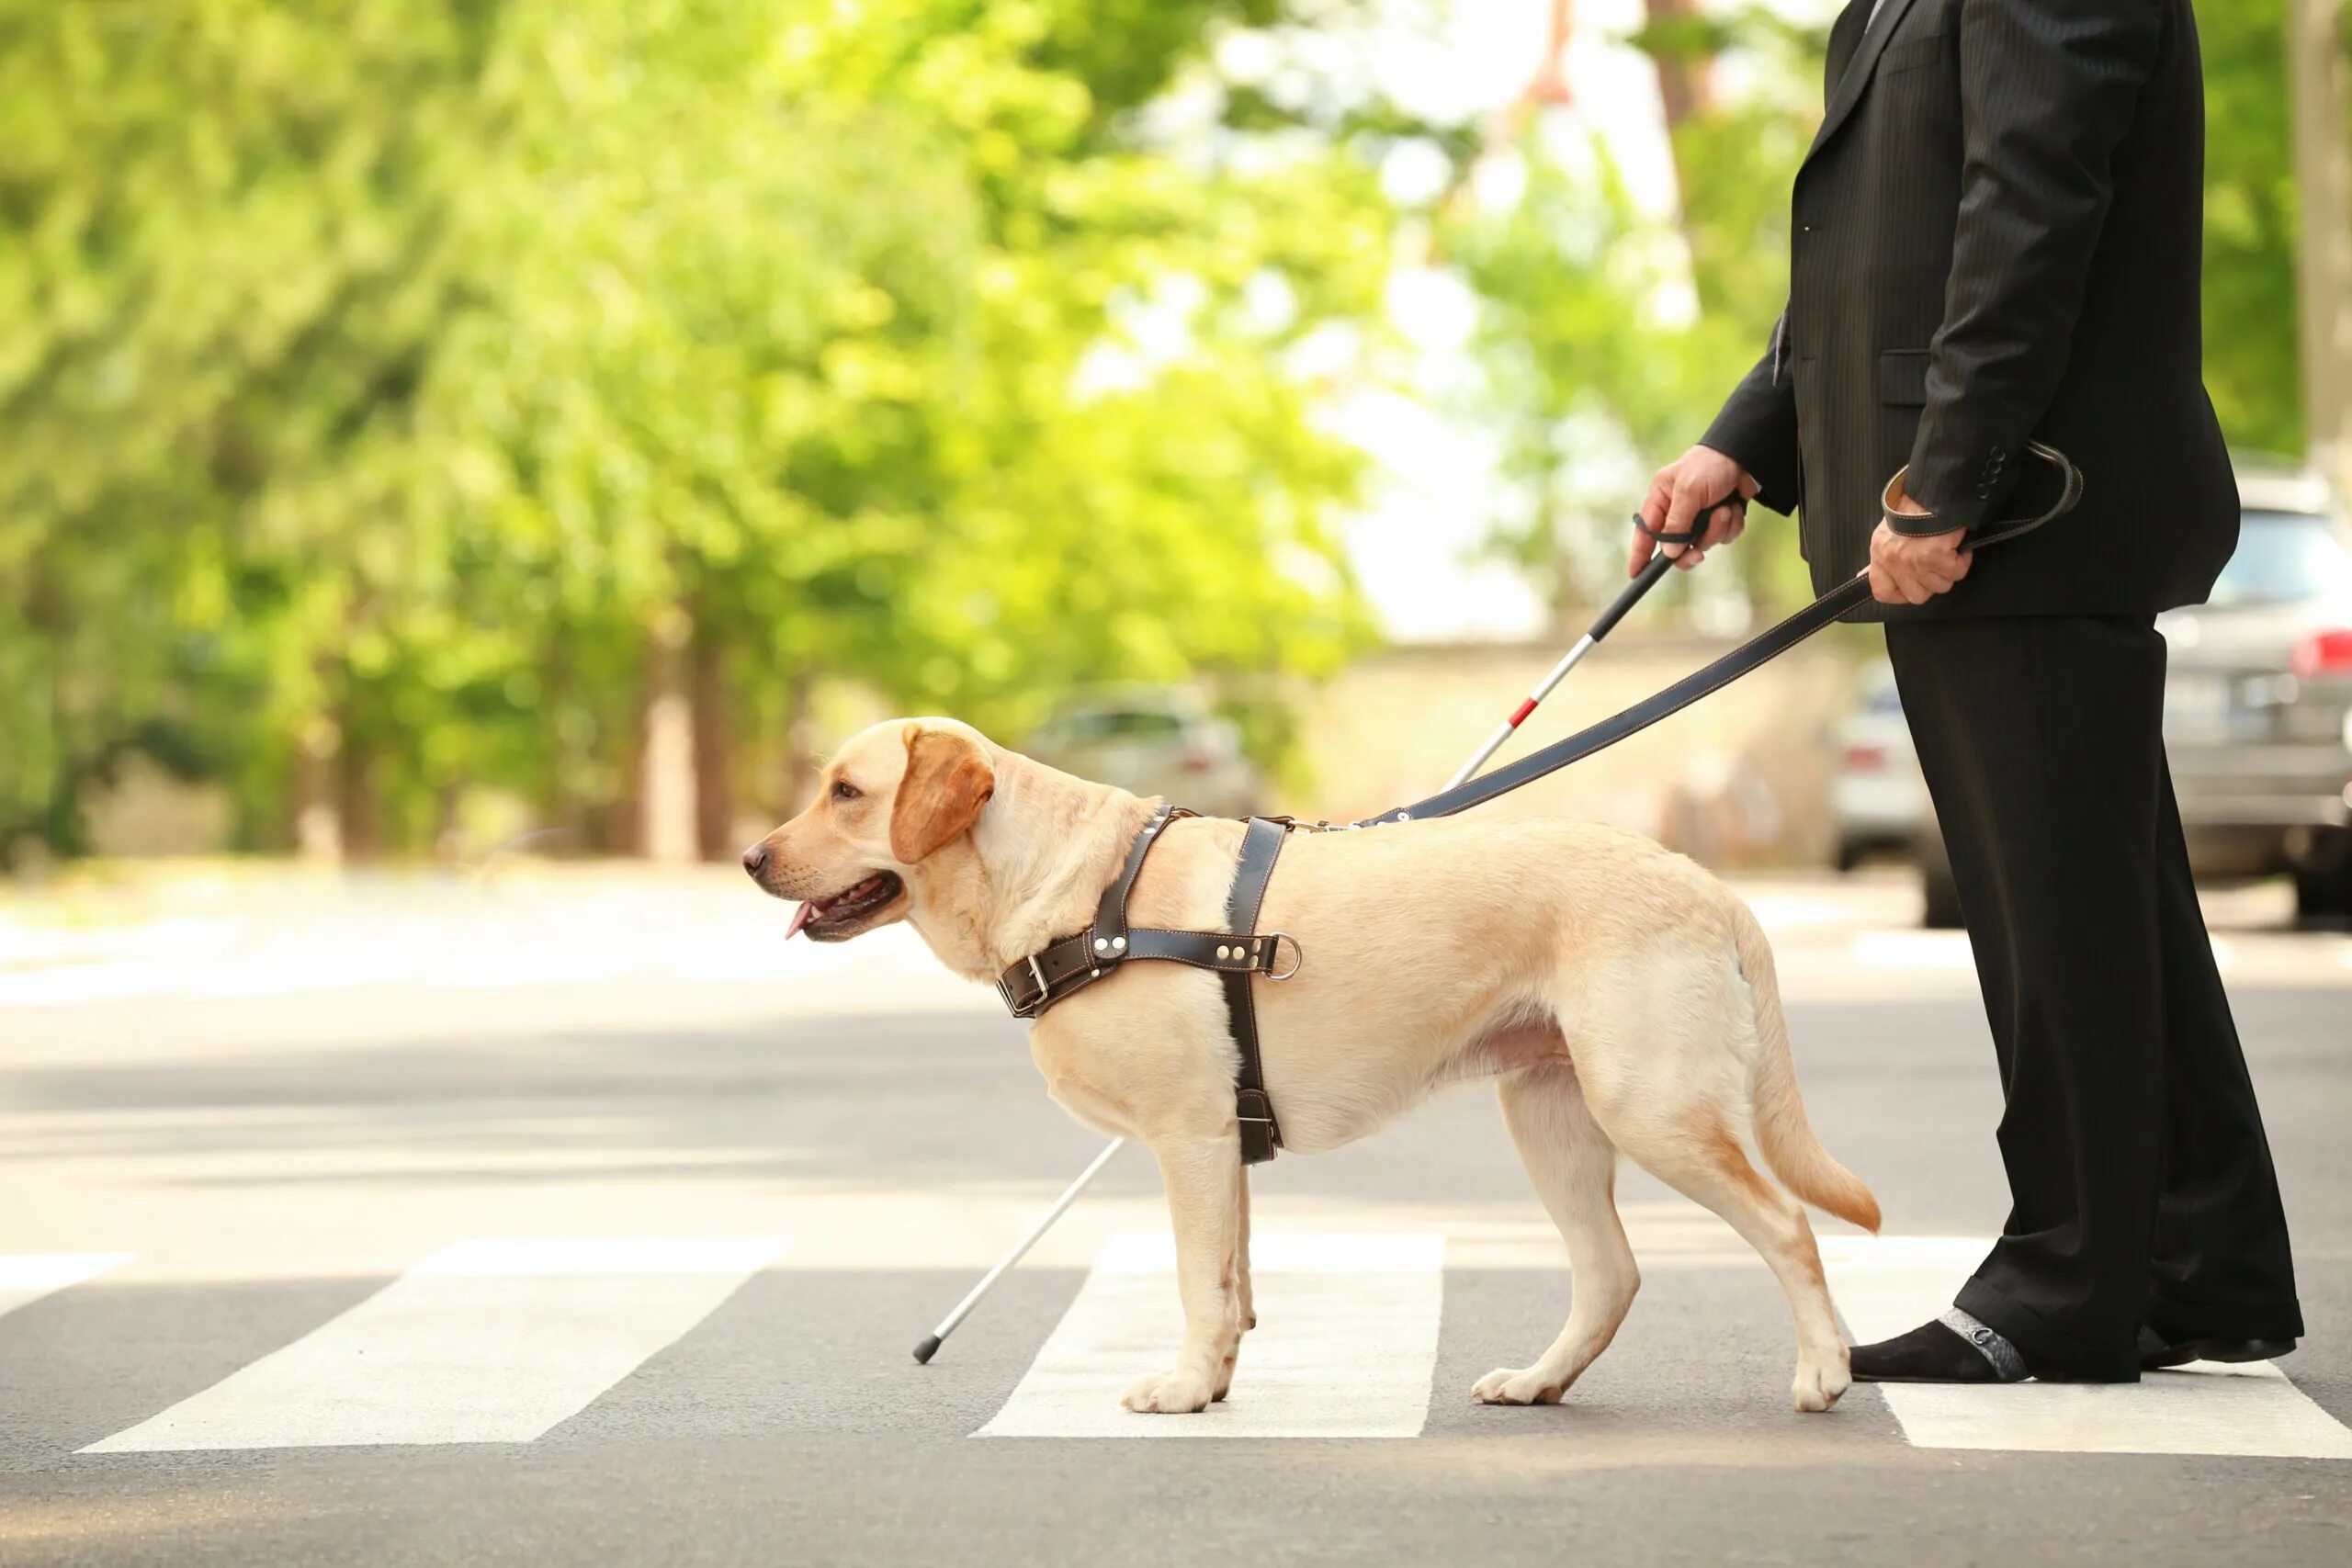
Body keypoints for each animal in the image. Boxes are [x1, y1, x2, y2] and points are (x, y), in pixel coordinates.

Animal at [742, 719, 1882, 1419]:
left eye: (846, 792)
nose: (751, 858)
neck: (1081, 890)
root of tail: (1705, 882)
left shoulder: (1190, 1140)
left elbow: (1198, 1283)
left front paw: (1181, 1391)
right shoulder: (1223, 1148)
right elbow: (1233, 1282)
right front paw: (1213, 1387)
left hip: (1654, 1108)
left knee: (1786, 1225)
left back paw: (1824, 1370)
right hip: (1552, 1117)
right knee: (1612, 1274)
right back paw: (1538, 1382)